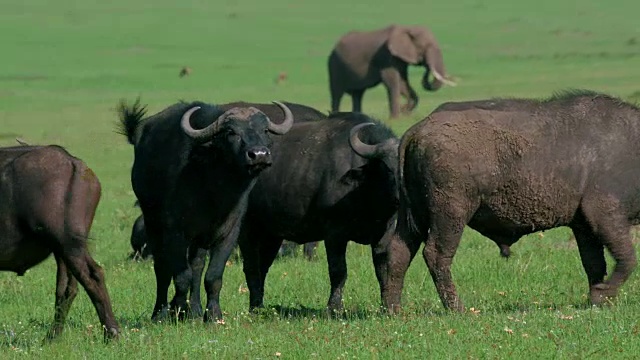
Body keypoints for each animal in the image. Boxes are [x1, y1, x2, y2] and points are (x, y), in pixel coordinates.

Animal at [0, 144, 119, 340]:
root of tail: (73, 161)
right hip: (63, 250)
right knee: (67, 287)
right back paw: (52, 337)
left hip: (69, 244)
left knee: (93, 276)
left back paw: (111, 333)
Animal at [117, 97, 296, 320]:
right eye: (231, 132)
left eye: (264, 130)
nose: (259, 155)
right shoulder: (175, 232)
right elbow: (181, 275)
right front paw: (177, 309)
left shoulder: (228, 234)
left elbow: (212, 276)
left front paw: (212, 315)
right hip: (153, 224)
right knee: (162, 267)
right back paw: (161, 312)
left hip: (198, 240)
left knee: (197, 266)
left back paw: (194, 309)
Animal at [188, 111, 400, 316]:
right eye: (387, 168)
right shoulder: (334, 234)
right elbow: (339, 271)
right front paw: (334, 309)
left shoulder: (383, 235)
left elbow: (383, 269)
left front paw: (387, 306)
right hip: (248, 231)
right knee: (251, 267)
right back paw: (255, 307)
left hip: (272, 236)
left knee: (263, 267)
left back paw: (259, 305)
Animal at [328, 24, 458, 119]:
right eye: (424, 47)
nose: (426, 66)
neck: (407, 28)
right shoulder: (386, 57)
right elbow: (392, 82)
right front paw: (395, 118)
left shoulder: (400, 59)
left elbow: (403, 82)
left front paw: (405, 113)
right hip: (334, 65)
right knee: (337, 94)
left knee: (357, 94)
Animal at [380, 89, 640, 312]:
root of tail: (418, 129)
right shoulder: (604, 216)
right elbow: (627, 258)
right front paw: (605, 293)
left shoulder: (583, 226)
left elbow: (594, 263)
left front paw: (596, 298)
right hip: (450, 215)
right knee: (436, 254)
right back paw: (457, 308)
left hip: (414, 216)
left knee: (399, 250)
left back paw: (392, 309)